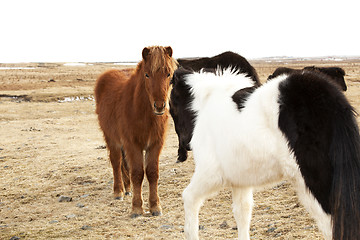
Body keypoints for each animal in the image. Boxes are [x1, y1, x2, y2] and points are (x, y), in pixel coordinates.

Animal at [93, 45, 176, 218]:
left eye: (168, 74)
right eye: (147, 74)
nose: (160, 106)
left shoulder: (155, 144)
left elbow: (152, 172)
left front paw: (155, 207)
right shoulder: (133, 144)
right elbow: (137, 173)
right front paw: (137, 208)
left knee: (124, 164)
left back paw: (127, 188)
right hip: (111, 138)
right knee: (116, 162)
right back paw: (118, 191)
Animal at [172, 66, 360, 240]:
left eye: (173, 101)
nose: (185, 147)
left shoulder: (210, 174)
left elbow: (189, 198)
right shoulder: (239, 180)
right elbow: (242, 213)